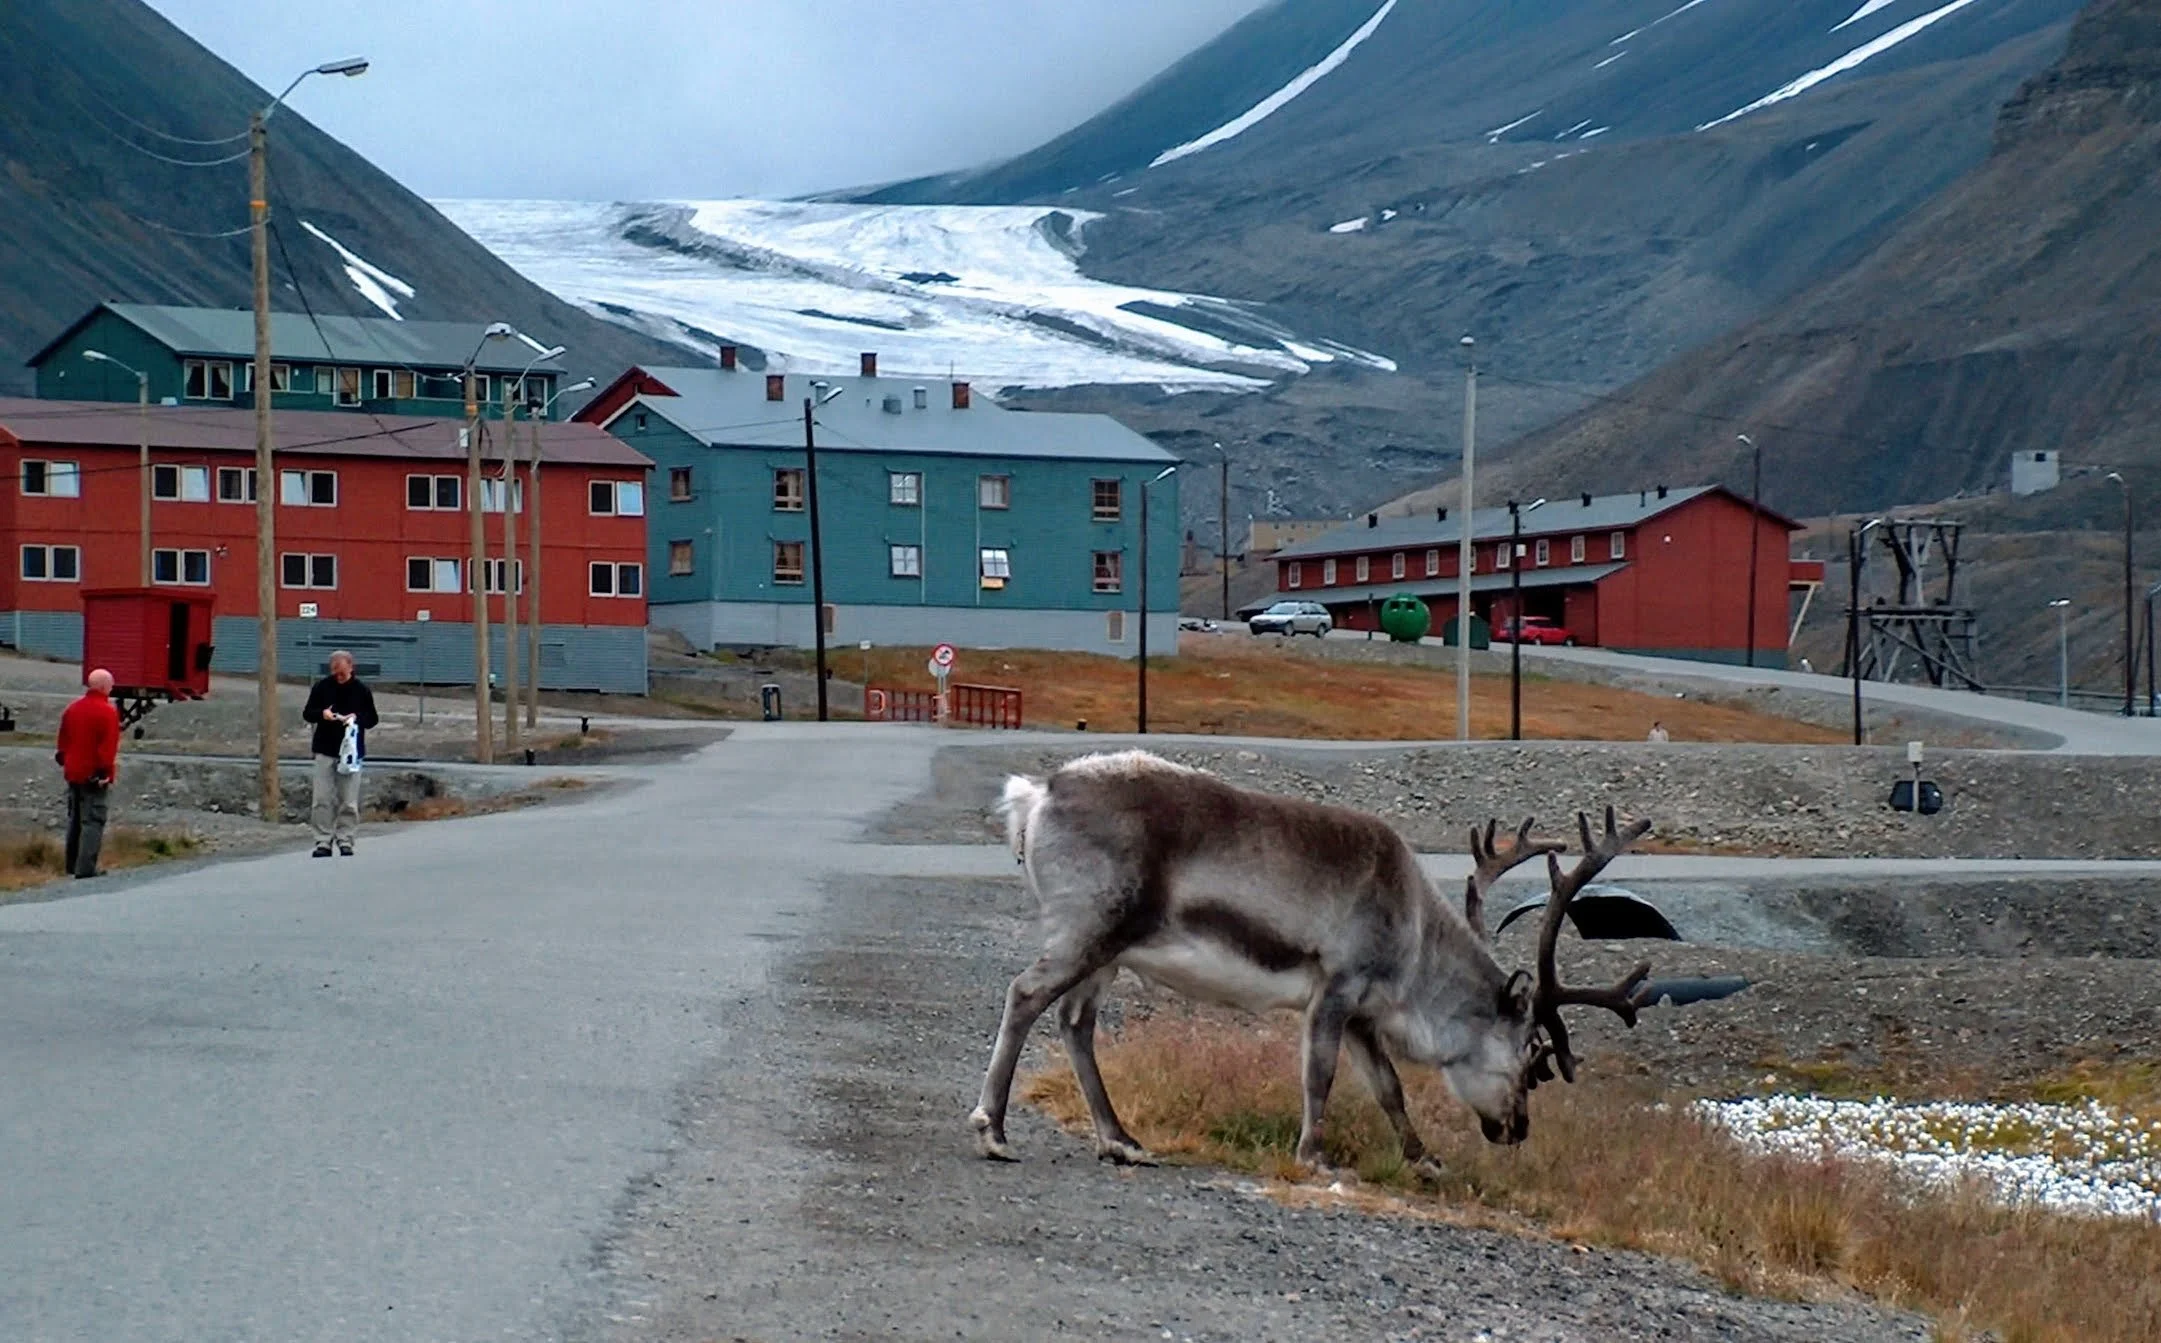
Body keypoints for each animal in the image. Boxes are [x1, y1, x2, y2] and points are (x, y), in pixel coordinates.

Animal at [971, 750, 1654, 1171]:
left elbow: (1388, 1087)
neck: (1414, 943)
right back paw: (994, 1130)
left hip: (1111, 952)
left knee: (1075, 1023)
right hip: (1086, 931)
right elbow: (1319, 1075)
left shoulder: (1364, 1013)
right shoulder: (1337, 988)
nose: (1517, 1130)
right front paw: (1314, 1156)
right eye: (1533, 1056)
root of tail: (1038, 794)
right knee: (1025, 994)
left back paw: (1121, 1141)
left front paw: (1423, 1159)